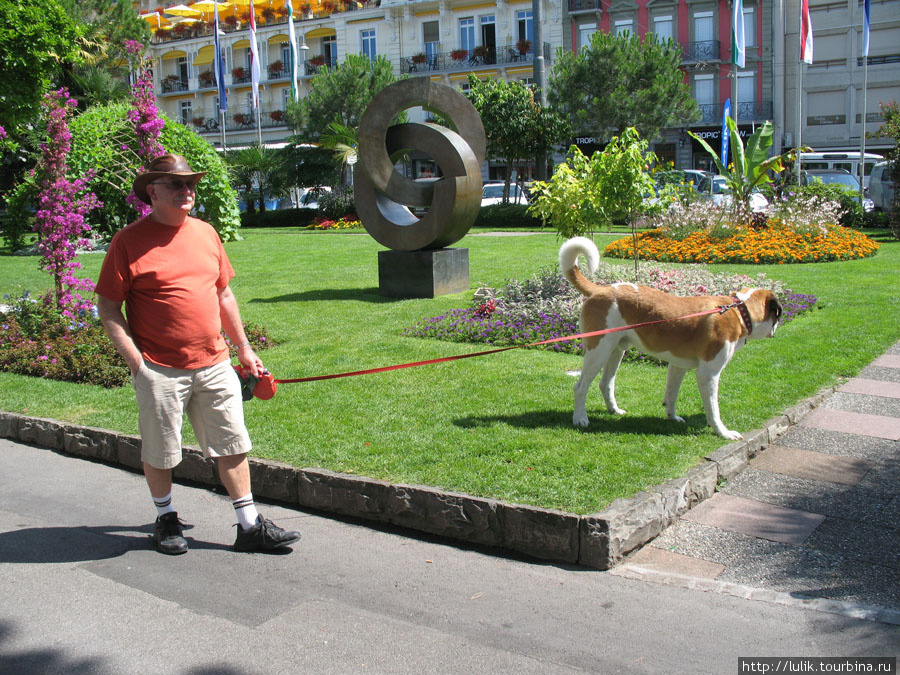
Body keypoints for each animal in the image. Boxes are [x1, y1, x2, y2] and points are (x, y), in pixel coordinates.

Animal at [564, 235, 780, 440]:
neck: (739, 311)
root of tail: (600, 289)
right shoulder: (708, 373)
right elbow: (713, 409)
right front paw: (723, 432)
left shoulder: (678, 365)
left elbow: (672, 394)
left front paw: (672, 416)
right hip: (598, 351)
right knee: (580, 386)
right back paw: (580, 419)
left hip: (616, 350)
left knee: (606, 383)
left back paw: (614, 410)